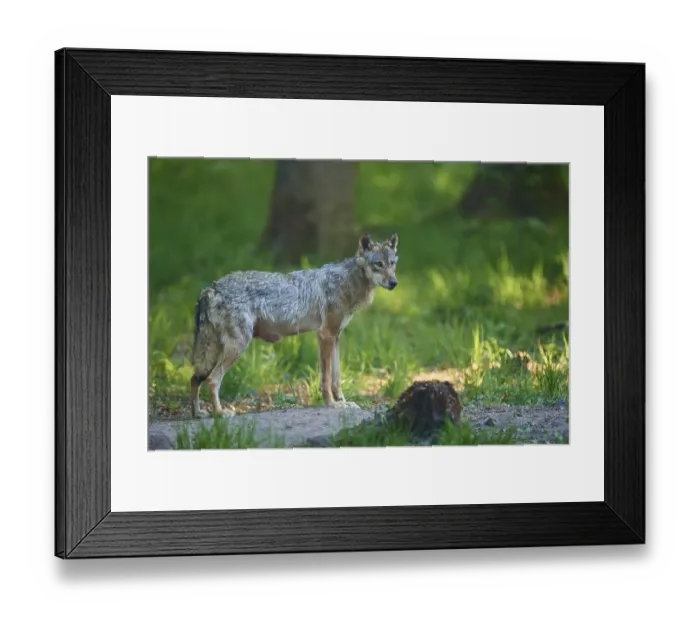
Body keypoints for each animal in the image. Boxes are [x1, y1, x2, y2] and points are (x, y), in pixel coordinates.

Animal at [189, 232, 399, 417]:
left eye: (392, 264)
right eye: (378, 264)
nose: (394, 282)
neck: (346, 282)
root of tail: (209, 289)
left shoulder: (336, 336)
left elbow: (337, 378)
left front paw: (343, 402)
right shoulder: (325, 335)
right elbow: (326, 379)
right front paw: (331, 404)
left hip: (216, 351)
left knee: (194, 378)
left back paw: (197, 414)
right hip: (237, 346)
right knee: (212, 379)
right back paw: (219, 413)